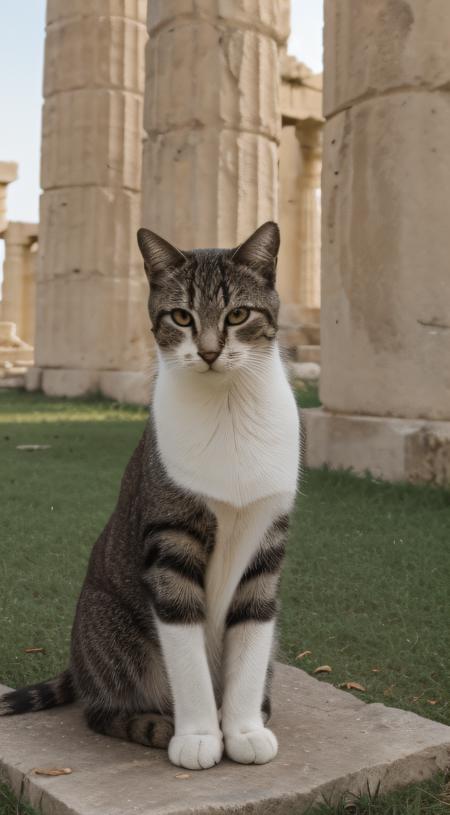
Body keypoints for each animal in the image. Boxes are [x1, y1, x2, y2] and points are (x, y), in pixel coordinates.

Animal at [2, 220, 302, 768]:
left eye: (238, 314)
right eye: (182, 316)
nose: (209, 351)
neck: (227, 408)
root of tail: (77, 663)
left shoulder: (267, 540)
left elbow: (252, 634)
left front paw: (243, 729)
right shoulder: (170, 542)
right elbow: (184, 650)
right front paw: (199, 736)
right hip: (109, 623)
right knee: (101, 709)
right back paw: (156, 725)